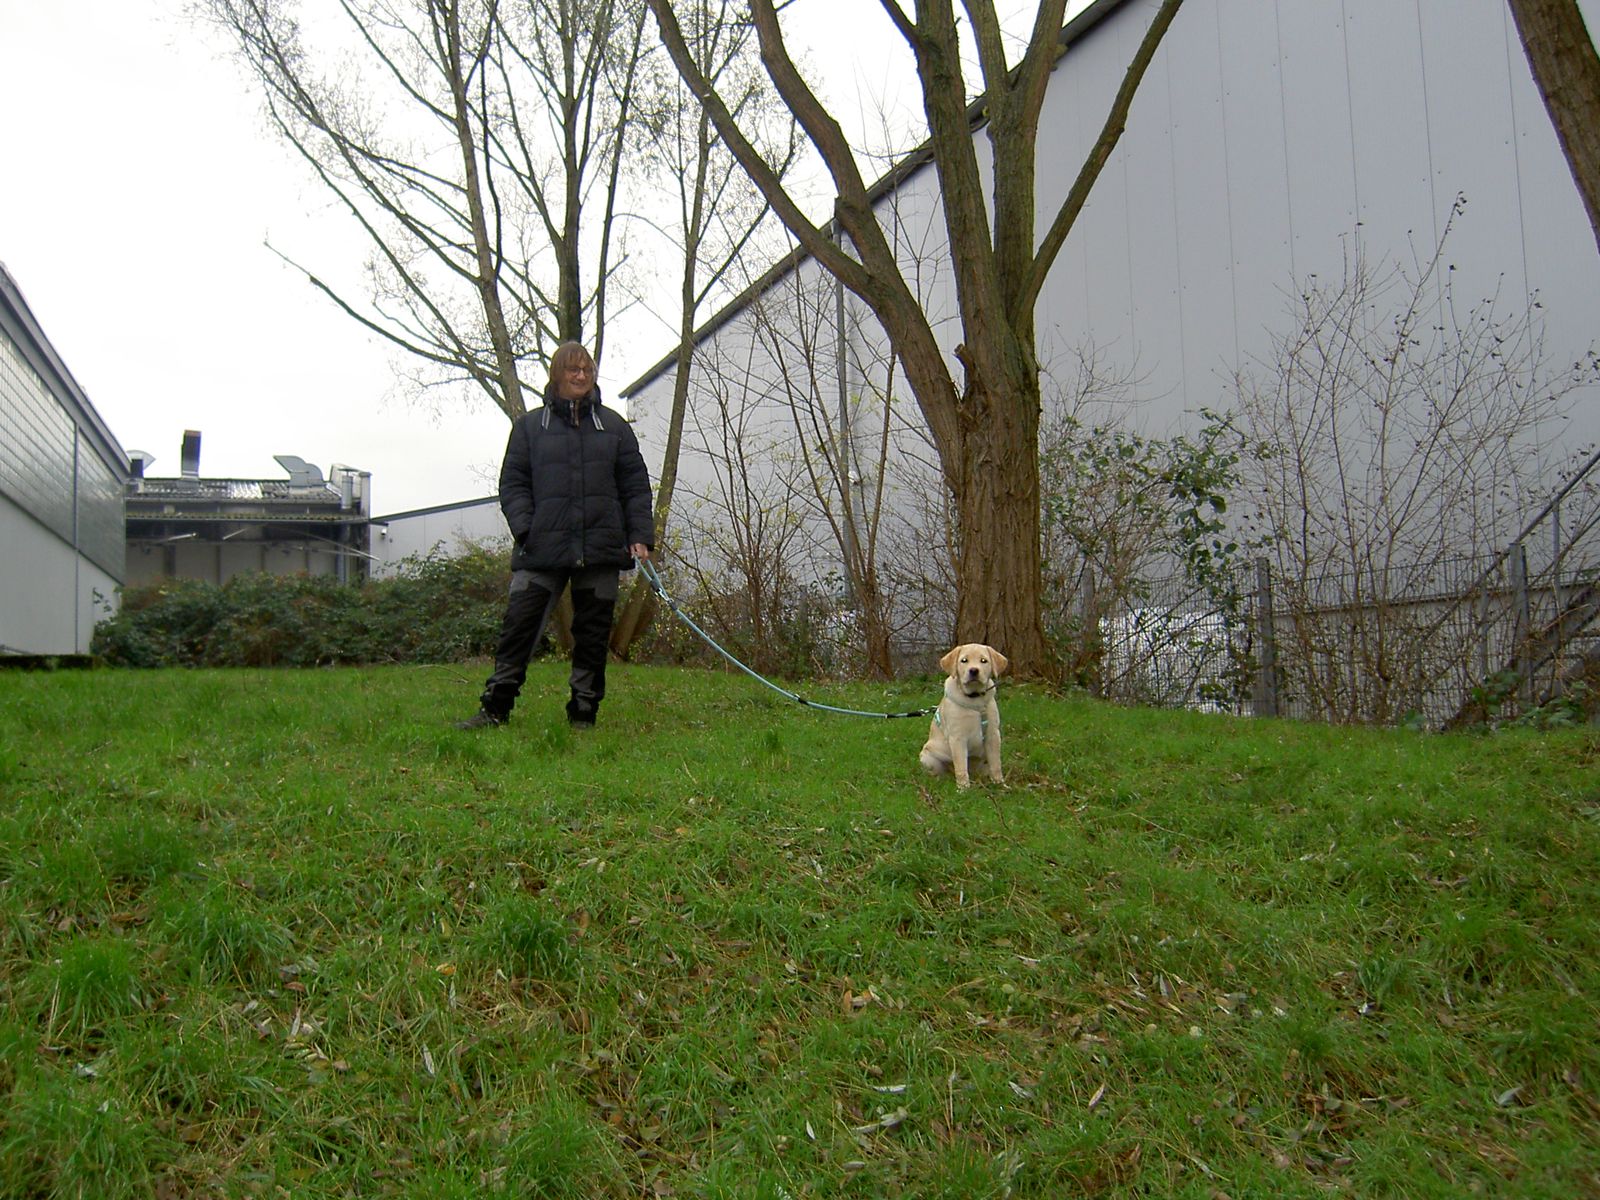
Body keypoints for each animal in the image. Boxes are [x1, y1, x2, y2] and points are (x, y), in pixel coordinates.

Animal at [919, 643, 1007, 789]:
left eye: (984, 661)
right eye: (964, 660)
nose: (974, 671)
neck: (975, 700)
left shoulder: (993, 735)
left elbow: (996, 763)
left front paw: (1000, 784)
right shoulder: (957, 738)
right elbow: (960, 766)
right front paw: (963, 788)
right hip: (927, 757)